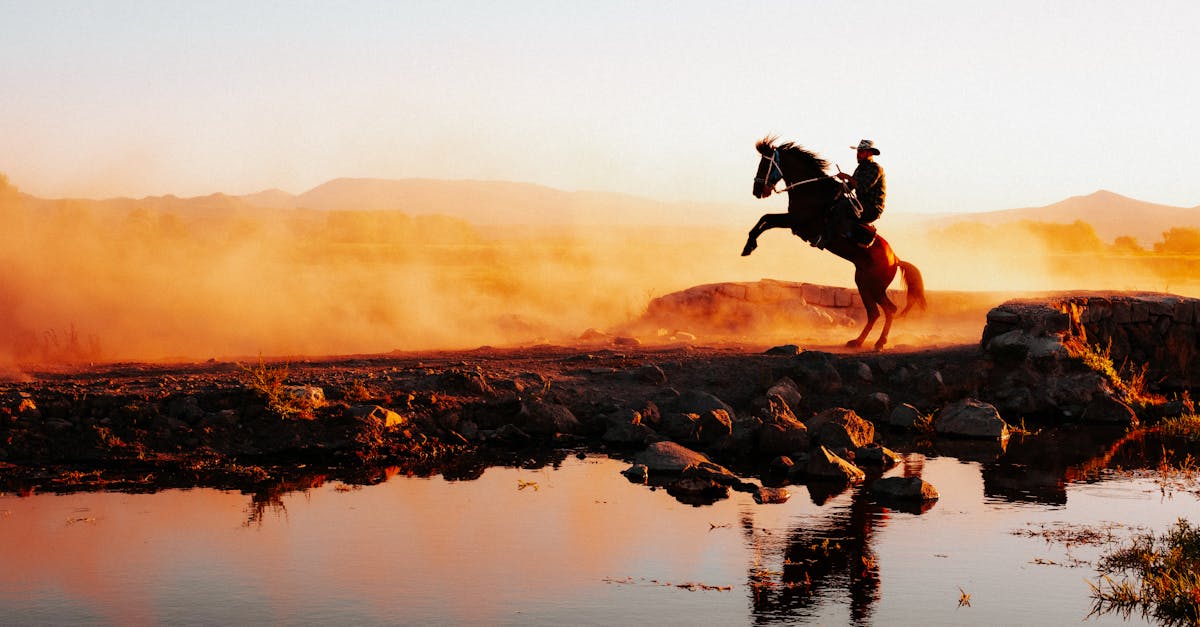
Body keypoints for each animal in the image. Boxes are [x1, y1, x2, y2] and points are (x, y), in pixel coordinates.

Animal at [739, 135, 926, 348]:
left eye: (764, 165)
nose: (757, 191)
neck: (812, 192)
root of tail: (895, 259)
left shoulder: (796, 221)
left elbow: (766, 219)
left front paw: (749, 246)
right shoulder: (793, 221)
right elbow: (765, 219)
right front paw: (748, 246)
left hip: (875, 286)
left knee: (889, 309)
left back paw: (879, 342)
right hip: (863, 283)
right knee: (874, 313)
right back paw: (857, 341)